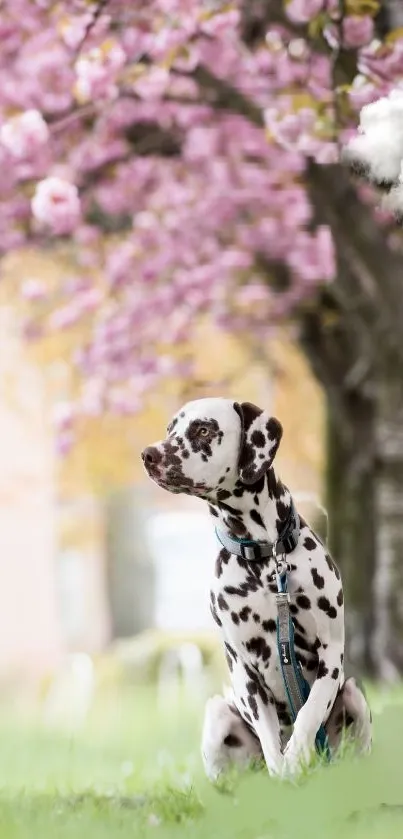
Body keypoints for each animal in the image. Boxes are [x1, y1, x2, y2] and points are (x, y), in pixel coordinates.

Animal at [142, 398, 372, 776]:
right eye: (170, 429)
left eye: (203, 430)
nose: (149, 454)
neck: (265, 558)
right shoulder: (244, 670)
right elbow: (270, 739)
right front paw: (284, 769)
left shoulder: (331, 654)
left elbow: (310, 710)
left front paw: (297, 753)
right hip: (217, 713)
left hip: (354, 694)